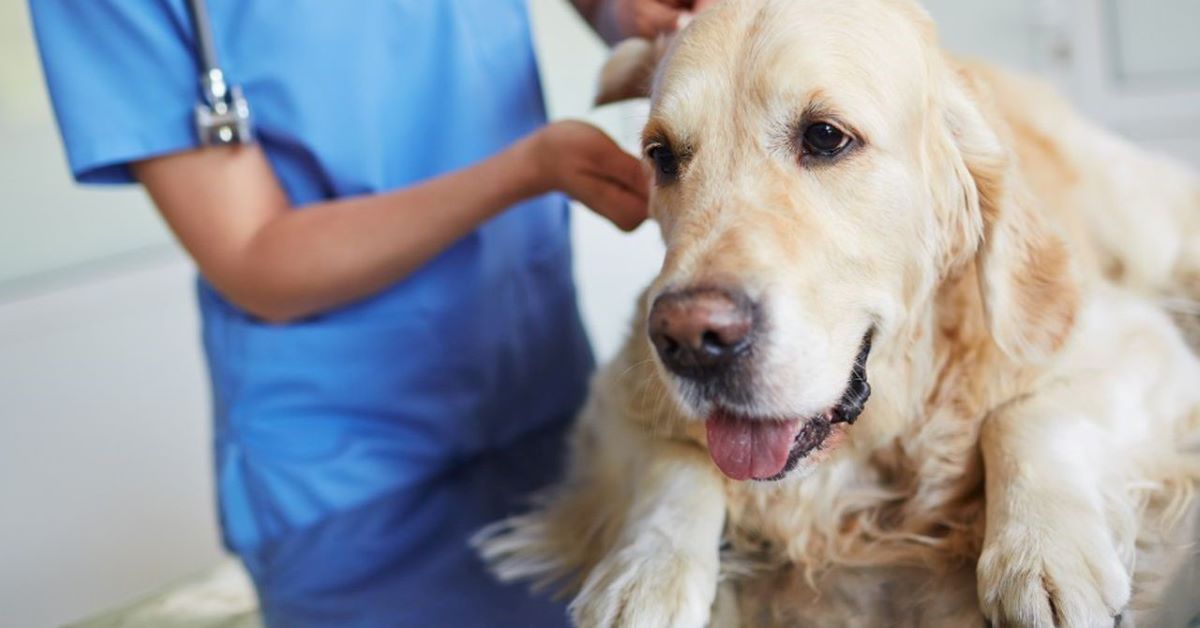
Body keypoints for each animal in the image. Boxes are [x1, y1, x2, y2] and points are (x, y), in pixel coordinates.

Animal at [477, 2, 1200, 624]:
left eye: (826, 137)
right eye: (660, 155)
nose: (689, 339)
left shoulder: (1134, 342)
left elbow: (1027, 417)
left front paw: (1040, 555)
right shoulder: (615, 393)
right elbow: (673, 467)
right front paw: (644, 572)